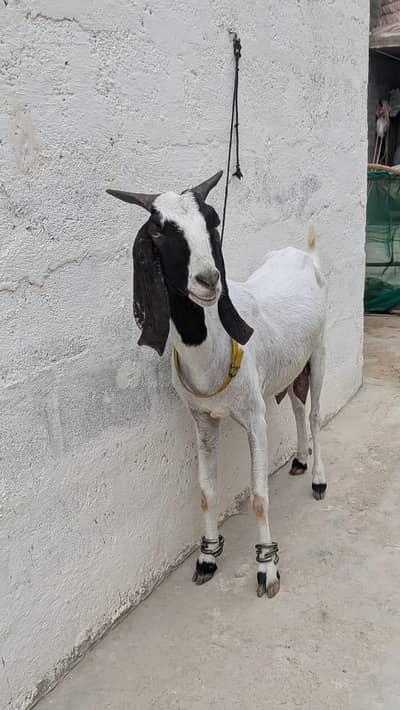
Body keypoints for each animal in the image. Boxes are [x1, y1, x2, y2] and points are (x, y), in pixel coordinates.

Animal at [107, 171, 327, 598]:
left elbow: (258, 497)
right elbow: (207, 494)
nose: (208, 280)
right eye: (158, 231)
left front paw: (267, 568)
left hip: (320, 352)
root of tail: (304, 254)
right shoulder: (203, 419)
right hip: (292, 366)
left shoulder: (255, 418)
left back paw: (319, 479)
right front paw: (207, 558)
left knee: (315, 415)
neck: (216, 347)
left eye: (213, 221)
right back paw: (299, 459)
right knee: (297, 406)